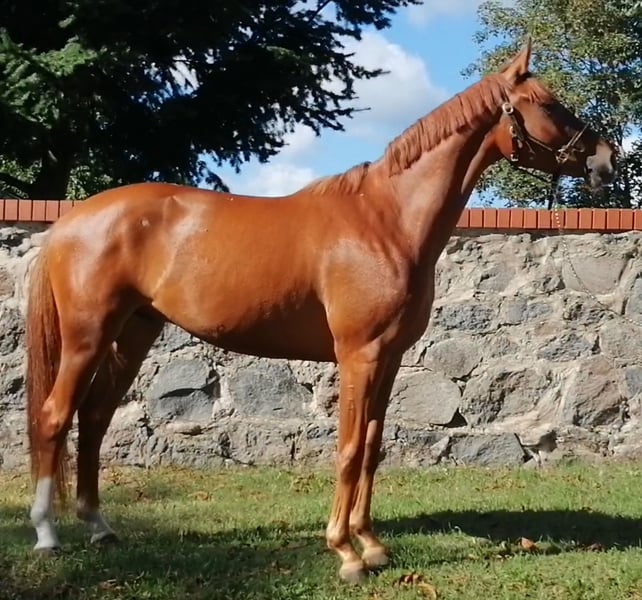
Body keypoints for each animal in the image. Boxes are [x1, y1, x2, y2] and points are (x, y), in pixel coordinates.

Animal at [25, 39, 615, 583]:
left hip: (133, 334)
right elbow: (349, 447)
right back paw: (46, 536)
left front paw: (372, 544)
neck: (386, 220)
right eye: (548, 104)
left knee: (94, 418)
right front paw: (345, 552)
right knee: (55, 416)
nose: (606, 160)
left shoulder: (389, 359)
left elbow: (373, 447)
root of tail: (71, 220)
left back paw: (100, 529)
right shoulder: (359, 355)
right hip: (87, 336)